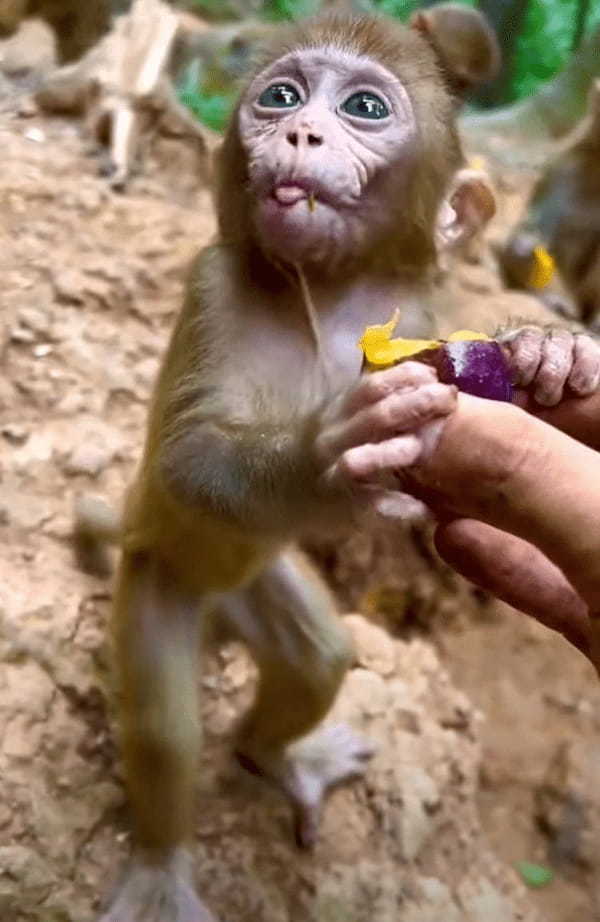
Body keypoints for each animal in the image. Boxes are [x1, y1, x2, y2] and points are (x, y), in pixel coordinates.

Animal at [88, 12, 600, 920]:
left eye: (364, 107)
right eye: (282, 95)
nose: (299, 132)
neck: (324, 297)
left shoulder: (417, 305)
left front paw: (550, 348)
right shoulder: (214, 283)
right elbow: (188, 461)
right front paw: (329, 449)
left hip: (257, 584)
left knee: (317, 660)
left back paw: (275, 756)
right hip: (157, 572)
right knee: (164, 729)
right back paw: (160, 866)